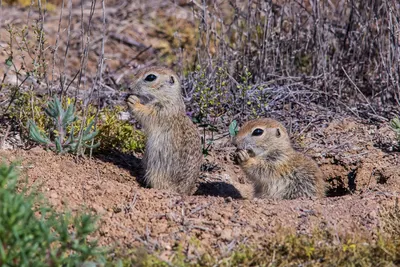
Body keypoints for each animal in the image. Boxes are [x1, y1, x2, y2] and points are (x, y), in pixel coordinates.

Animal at [126, 65, 202, 195]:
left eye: (151, 77)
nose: (129, 87)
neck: (169, 98)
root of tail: (183, 192)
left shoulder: (161, 111)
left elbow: (147, 114)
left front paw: (133, 101)